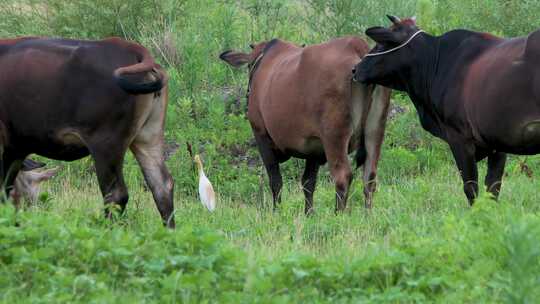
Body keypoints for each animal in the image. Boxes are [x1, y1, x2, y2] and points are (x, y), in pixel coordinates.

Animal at [0, 36, 174, 227]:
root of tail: (127, 46)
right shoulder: (16, 149)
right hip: (148, 137)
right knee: (162, 187)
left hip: (106, 145)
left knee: (116, 195)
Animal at [219, 38, 392, 213]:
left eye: (249, 66)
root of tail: (357, 46)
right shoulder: (314, 147)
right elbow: (308, 182)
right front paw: (309, 213)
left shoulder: (260, 134)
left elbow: (275, 180)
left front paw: (277, 212)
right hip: (375, 131)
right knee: (369, 177)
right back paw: (368, 214)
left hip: (334, 137)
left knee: (342, 176)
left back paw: (339, 215)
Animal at [352, 14, 540, 204]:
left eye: (382, 44)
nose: (355, 69)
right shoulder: (497, 143)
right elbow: (493, 188)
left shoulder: (460, 138)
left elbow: (471, 187)